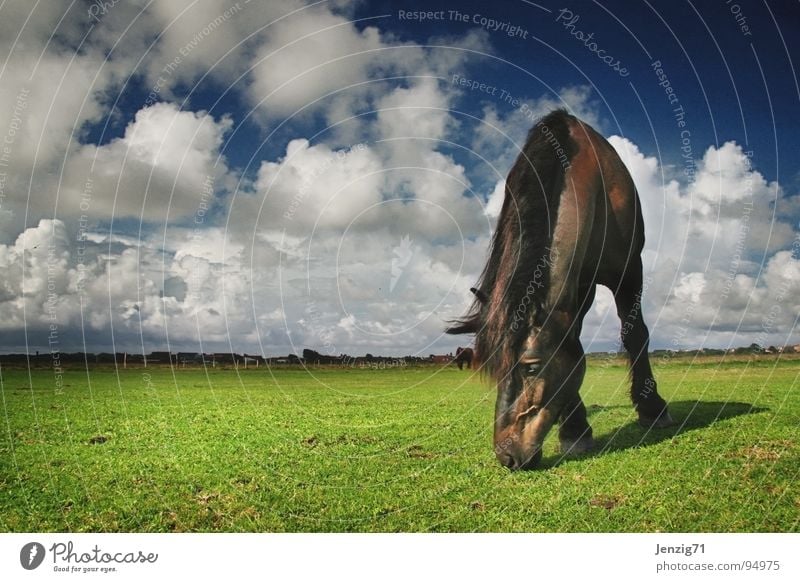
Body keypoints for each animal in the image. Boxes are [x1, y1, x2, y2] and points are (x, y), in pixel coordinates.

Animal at [446, 110, 672, 474]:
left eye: (531, 367)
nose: (507, 456)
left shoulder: (628, 272)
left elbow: (635, 333)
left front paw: (652, 408)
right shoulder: (575, 289)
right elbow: (572, 345)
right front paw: (575, 430)